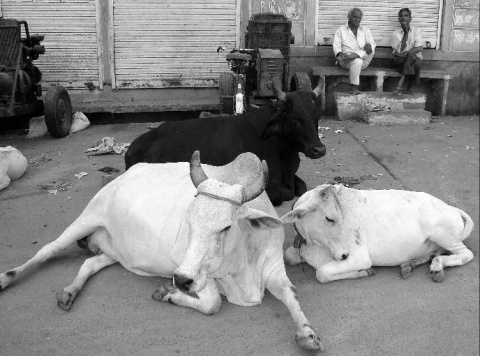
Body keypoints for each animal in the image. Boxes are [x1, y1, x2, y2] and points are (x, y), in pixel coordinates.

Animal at [0, 152, 324, 352]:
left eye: (226, 227)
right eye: (189, 221)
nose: (180, 280)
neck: (242, 264)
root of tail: (125, 173)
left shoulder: (273, 268)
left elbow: (291, 294)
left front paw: (307, 333)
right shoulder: (194, 273)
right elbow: (212, 304)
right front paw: (166, 293)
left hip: (114, 251)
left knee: (90, 264)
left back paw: (69, 291)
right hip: (88, 216)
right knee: (49, 249)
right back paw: (8, 277)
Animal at [124, 81, 326, 204]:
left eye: (317, 116)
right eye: (296, 118)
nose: (319, 149)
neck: (284, 153)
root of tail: (133, 148)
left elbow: (302, 187)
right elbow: (284, 193)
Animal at [282, 184, 472, 284]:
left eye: (335, 217)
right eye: (329, 218)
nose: (344, 255)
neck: (311, 244)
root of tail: (451, 207)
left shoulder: (359, 257)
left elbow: (321, 273)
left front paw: (364, 272)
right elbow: (288, 256)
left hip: (443, 235)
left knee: (466, 254)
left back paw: (437, 265)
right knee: (436, 252)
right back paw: (411, 264)